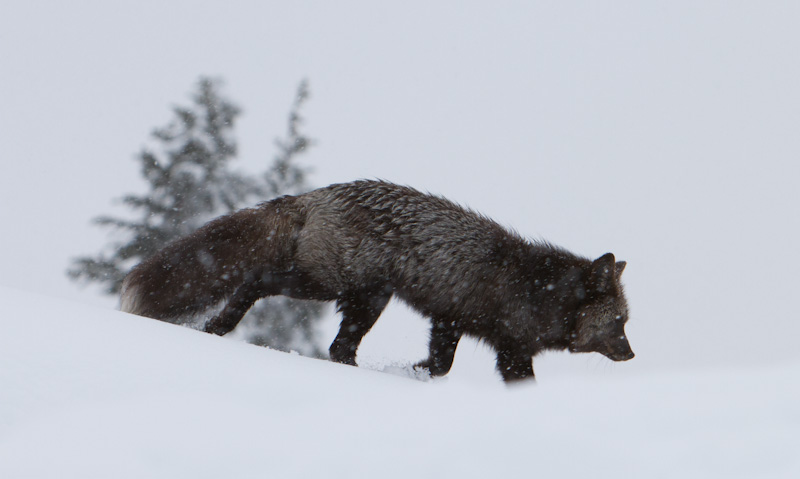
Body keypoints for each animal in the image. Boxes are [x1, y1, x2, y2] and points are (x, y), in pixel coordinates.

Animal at [119, 180, 636, 382]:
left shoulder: (450, 323)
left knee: (338, 348)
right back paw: (219, 327)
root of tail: (318, 194)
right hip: (327, 286)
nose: (632, 355)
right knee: (254, 281)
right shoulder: (504, 346)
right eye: (618, 322)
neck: (539, 292)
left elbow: (440, 366)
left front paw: (413, 375)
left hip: (365, 299)